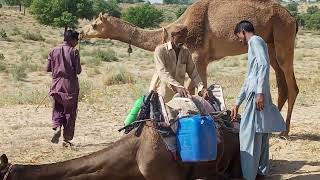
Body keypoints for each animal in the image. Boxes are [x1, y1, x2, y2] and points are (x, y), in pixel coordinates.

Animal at [80, 0, 300, 136]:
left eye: (95, 24)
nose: (80, 32)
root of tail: (292, 18)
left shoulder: (198, 56)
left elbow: (194, 90)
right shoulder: (199, 59)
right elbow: (194, 90)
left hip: (283, 37)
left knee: (292, 85)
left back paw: (284, 131)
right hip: (271, 44)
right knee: (281, 83)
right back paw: (271, 129)